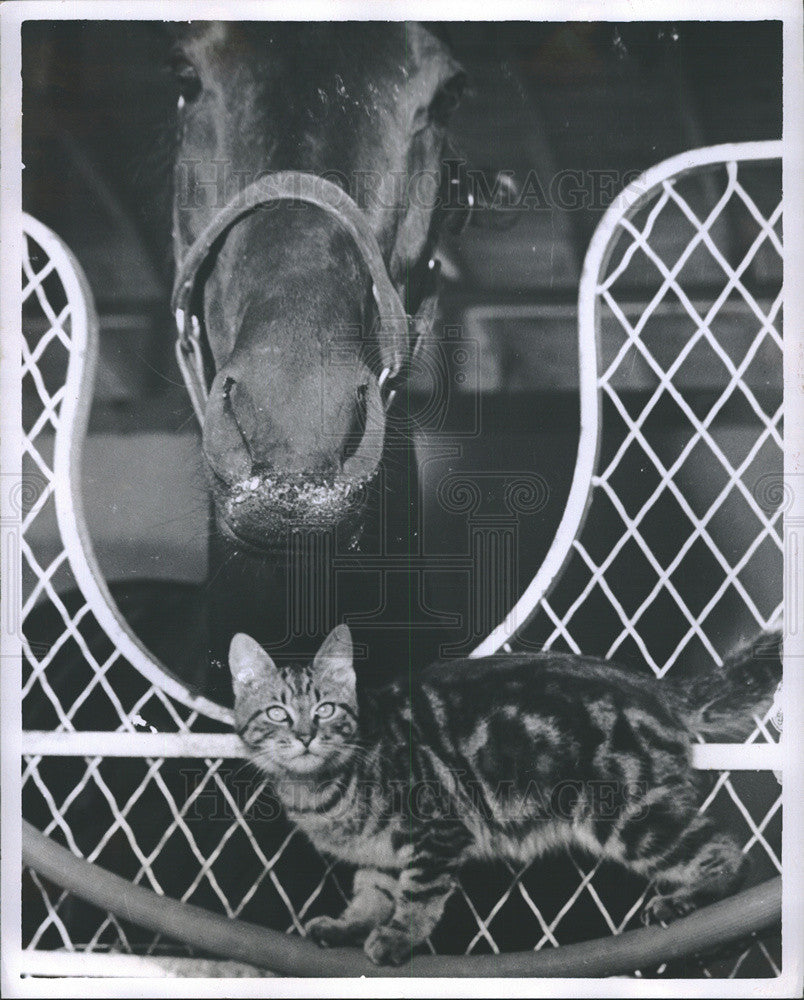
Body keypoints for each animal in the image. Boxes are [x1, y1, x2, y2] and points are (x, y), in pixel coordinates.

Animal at [229, 628, 784, 964]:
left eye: (325, 709)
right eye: (277, 713)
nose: (305, 735)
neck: (318, 791)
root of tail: (656, 688)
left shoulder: (438, 830)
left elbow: (419, 896)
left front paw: (399, 937)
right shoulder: (379, 856)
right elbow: (371, 896)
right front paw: (348, 926)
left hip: (628, 816)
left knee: (727, 851)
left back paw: (688, 897)